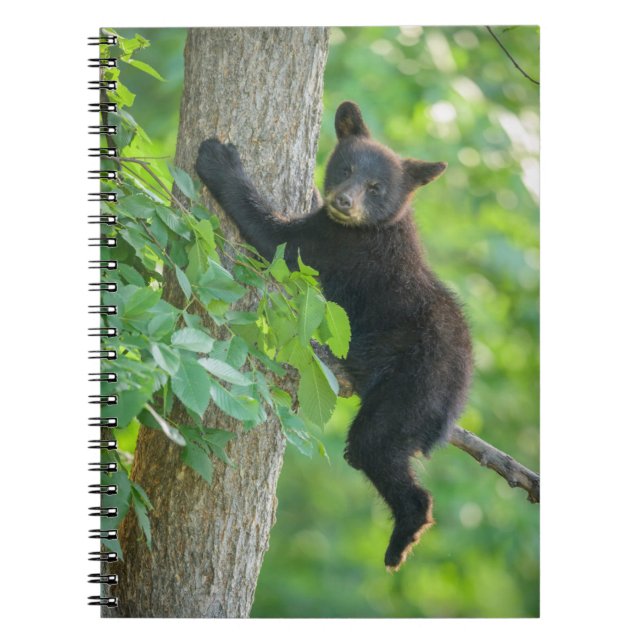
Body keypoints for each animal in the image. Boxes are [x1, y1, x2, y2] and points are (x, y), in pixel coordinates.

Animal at [195, 101, 473, 570]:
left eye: (377, 187)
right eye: (345, 168)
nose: (344, 201)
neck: (372, 227)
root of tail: (458, 396)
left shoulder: (337, 246)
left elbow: (277, 240)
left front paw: (219, 160)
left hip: (413, 387)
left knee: (373, 446)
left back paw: (402, 538)